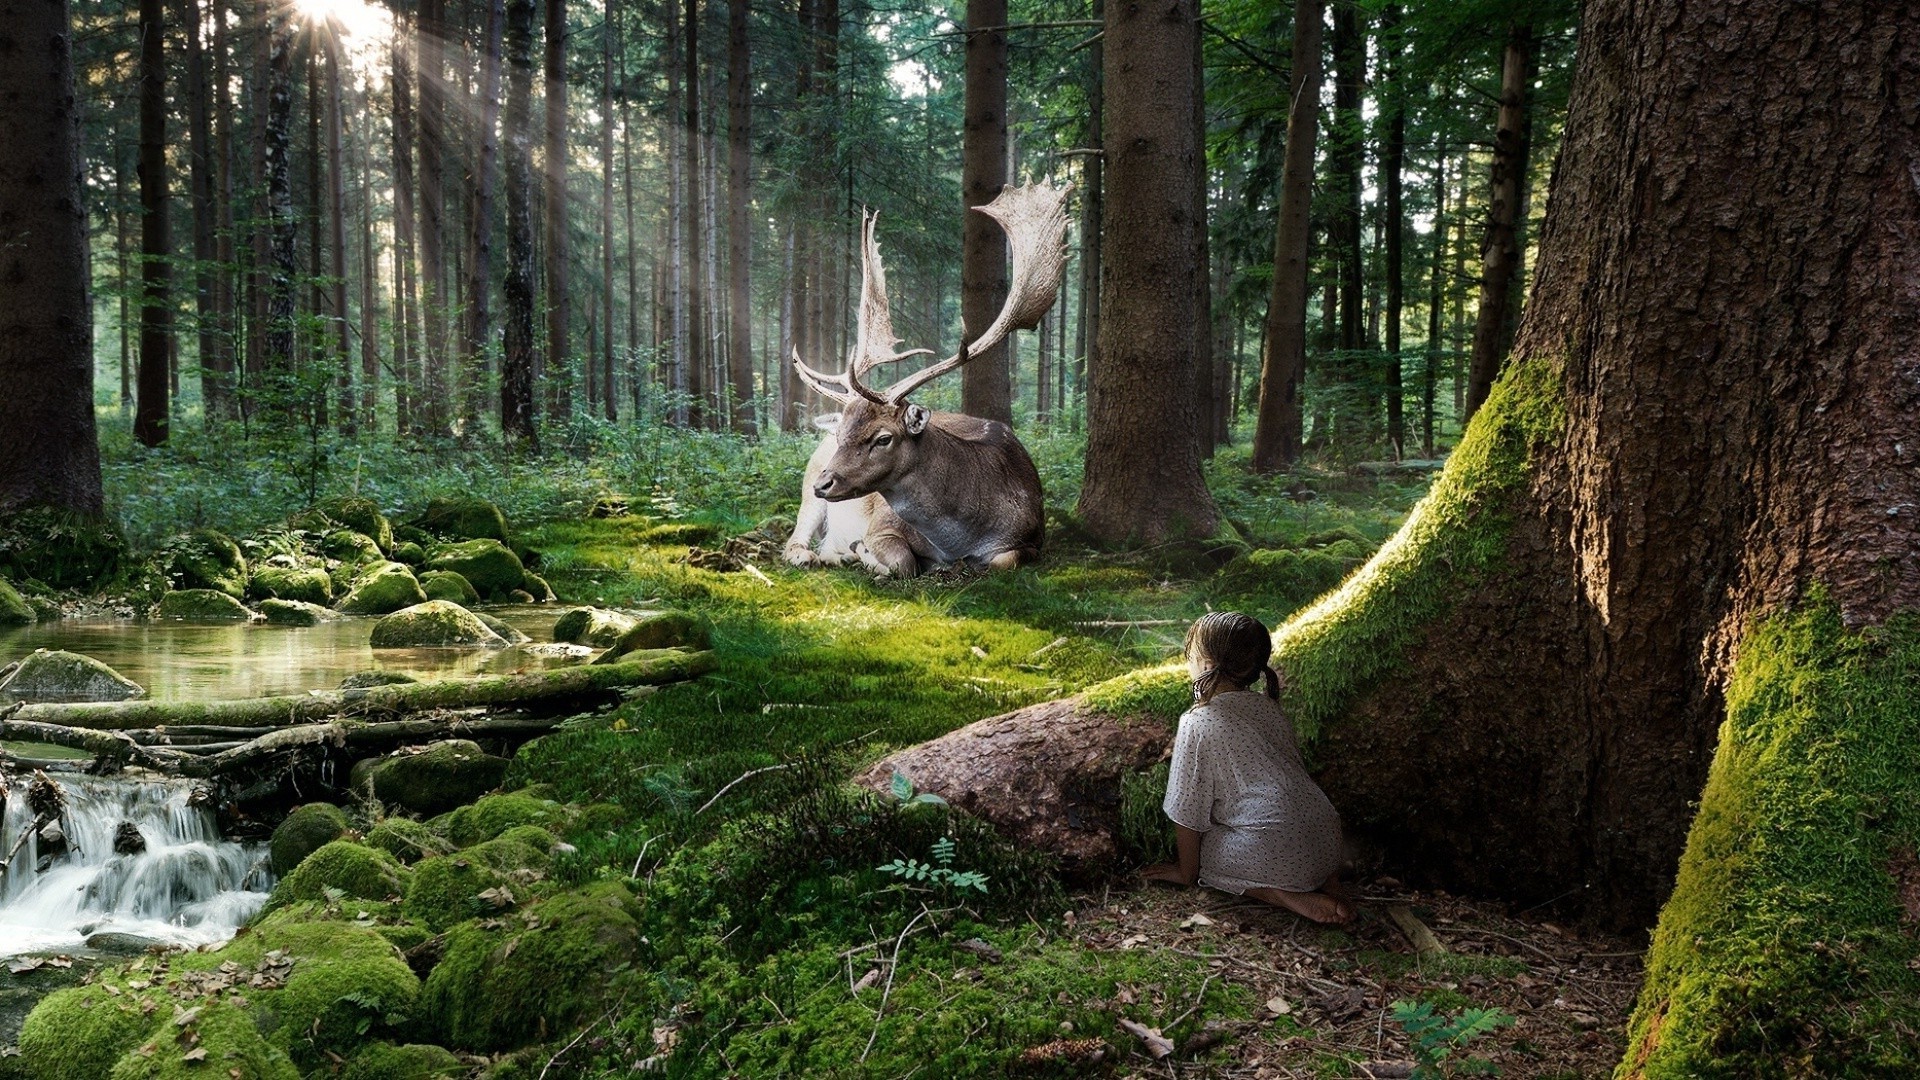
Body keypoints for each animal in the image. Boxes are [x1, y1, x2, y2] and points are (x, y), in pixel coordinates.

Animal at [787, 182, 1075, 580]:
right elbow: (903, 561)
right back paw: (815, 554)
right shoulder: (882, 524)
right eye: (842, 433)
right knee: (795, 539)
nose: (824, 483)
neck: (961, 539)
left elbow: (1004, 561)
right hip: (807, 484)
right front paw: (868, 553)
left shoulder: (1034, 536)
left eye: (883, 438)